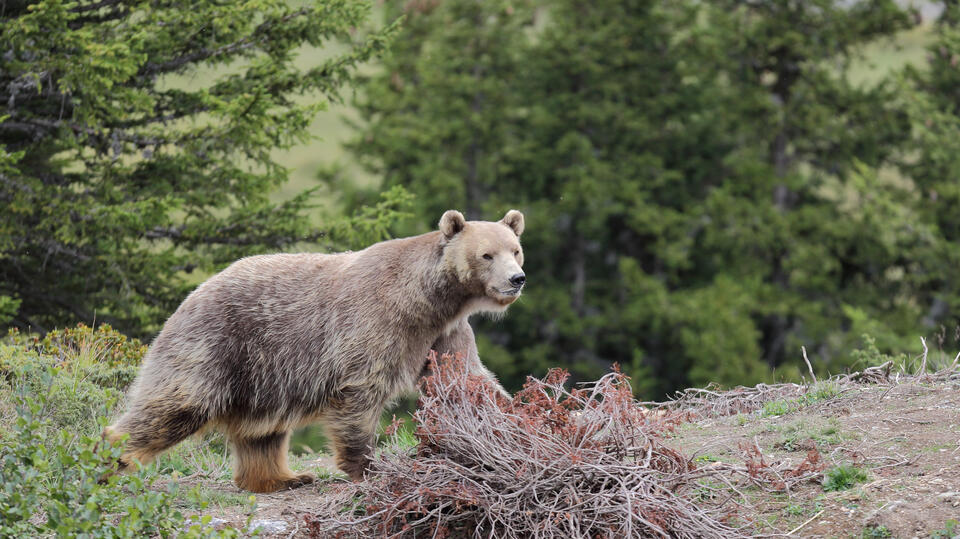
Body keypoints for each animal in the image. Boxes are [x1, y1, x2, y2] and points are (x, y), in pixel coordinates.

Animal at [105, 210, 524, 494]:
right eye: (487, 254)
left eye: (515, 249)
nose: (516, 279)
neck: (429, 301)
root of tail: (190, 295)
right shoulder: (376, 324)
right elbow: (360, 393)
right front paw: (368, 466)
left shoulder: (443, 334)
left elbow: (466, 379)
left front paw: (517, 421)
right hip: (216, 345)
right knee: (175, 405)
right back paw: (112, 457)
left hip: (262, 375)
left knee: (262, 432)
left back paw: (284, 477)